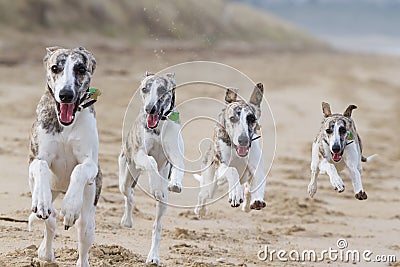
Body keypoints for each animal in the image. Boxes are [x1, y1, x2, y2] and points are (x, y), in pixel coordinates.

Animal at [27, 47, 101, 266]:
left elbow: (79, 169)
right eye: (55, 67)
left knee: (83, 239)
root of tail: (60, 188)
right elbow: (41, 166)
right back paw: (45, 253)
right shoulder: (35, 158)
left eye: (81, 68)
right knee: (50, 222)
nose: (66, 95)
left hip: (88, 216)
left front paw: (70, 206)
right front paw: (42, 200)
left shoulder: (91, 164)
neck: (66, 125)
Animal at [119, 71, 184, 266]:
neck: (159, 126)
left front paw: (175, 183)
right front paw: (155, 184)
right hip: (126, 174)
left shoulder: (176, 153)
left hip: (162, 205)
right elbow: (151, 162)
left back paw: (153, 256)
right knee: (129, 195)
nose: (150, 109)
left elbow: (179, 166)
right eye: (144, 89)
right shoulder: (140, 154)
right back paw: (127, 220)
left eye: (162, 89)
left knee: (157, 225)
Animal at [193, 84, 266, 218]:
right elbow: (232, 170)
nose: (243, 140)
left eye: (252, 119)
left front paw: (257, 199)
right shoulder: (221, 166)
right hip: (210, 183)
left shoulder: (257, 168)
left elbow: (258, 180)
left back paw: (247, 204)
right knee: (203, 195)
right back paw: (200, 210)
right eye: (232, 118)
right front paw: (235, 193)